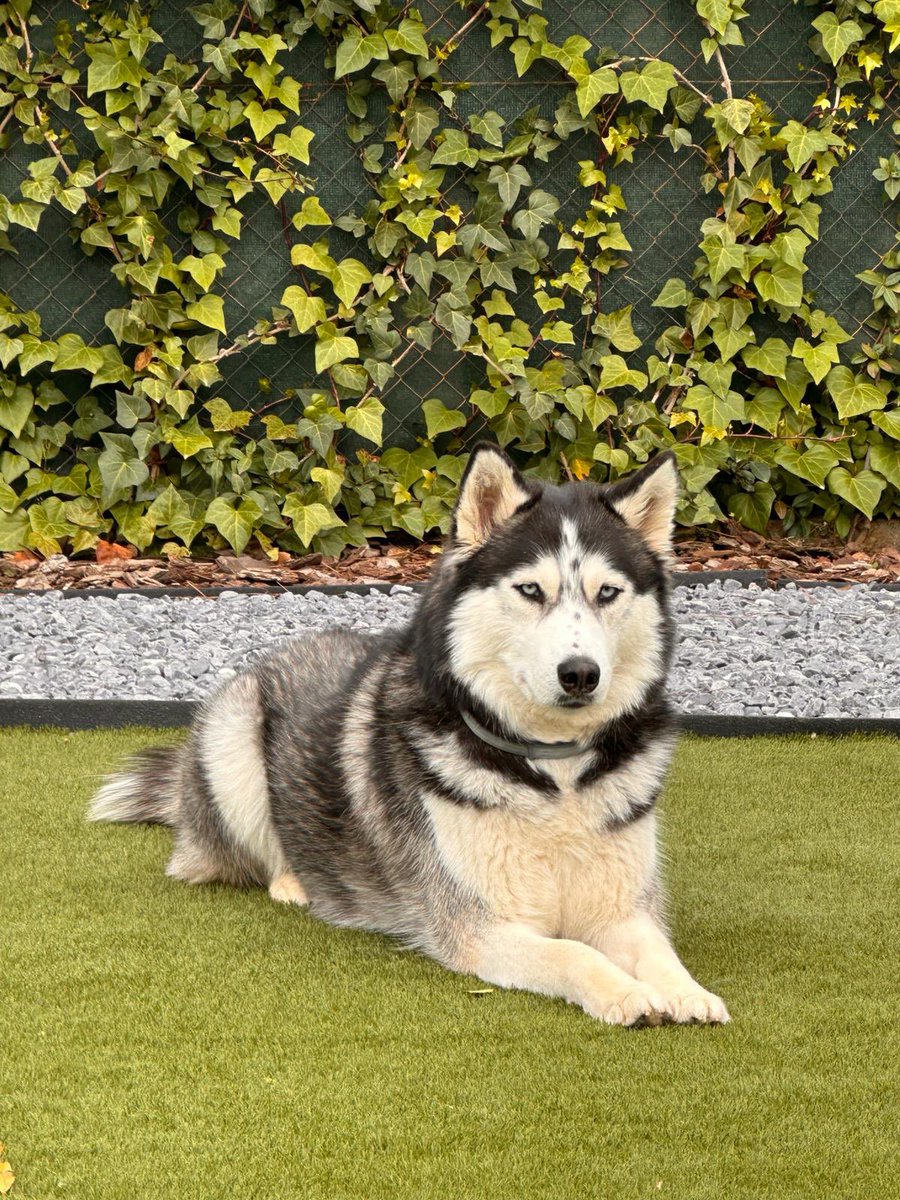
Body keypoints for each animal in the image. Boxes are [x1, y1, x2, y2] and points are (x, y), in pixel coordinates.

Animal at [90, 446, 734, 1027]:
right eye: (531, 590)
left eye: (608, 593)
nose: (580, 673)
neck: (555, 775)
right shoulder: (478, 926)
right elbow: (573, 952)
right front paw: (625, 993)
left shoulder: (622, 909)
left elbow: (657, 950)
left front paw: (687, 992)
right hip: (233, 737)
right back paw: (296, 881)